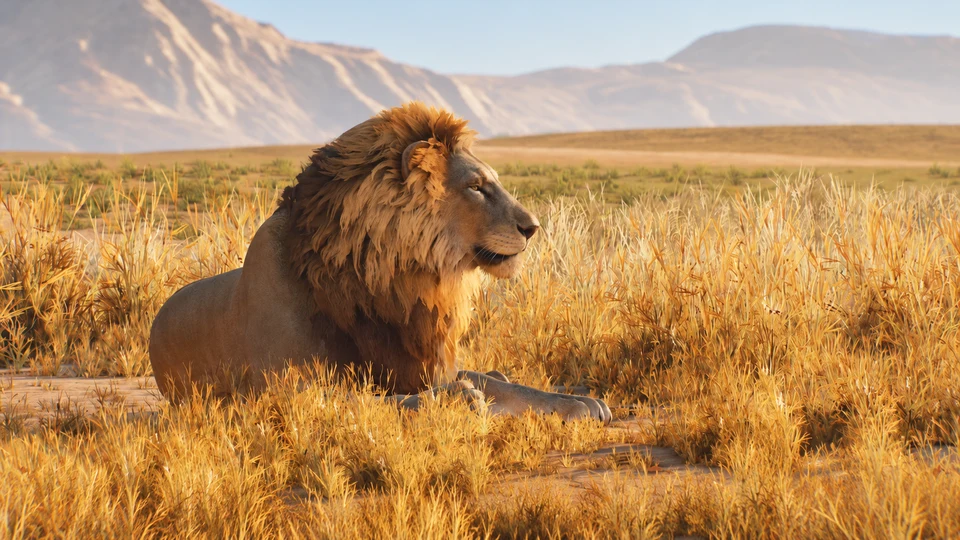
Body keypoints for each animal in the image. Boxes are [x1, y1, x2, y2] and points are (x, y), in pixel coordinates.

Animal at [148, 102, 611, 423]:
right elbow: (375, 401)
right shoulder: (287, 389)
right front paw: (458, 399)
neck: (385, 282)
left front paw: (581, 402)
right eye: (477, 187)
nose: (533, 227)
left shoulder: (415, 361)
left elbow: (509, 387)